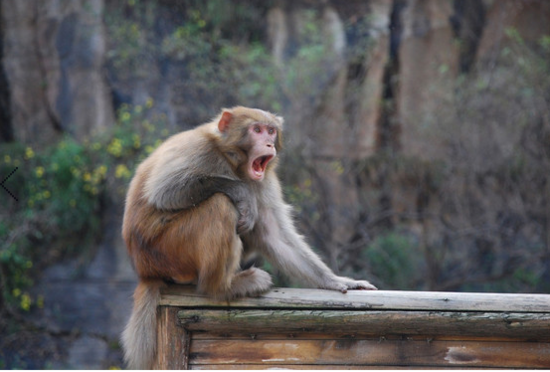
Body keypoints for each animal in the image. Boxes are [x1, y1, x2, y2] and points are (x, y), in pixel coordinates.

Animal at [122, 107, 378, 370]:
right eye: (256, 130)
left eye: (271, 131)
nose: (269, 143)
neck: (232, 161)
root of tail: (146, 271)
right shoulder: (198, 150)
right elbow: (165, 192)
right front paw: (242, 193)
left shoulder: (264, 180)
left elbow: (274, 236)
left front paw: (336, 280)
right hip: (168, 250)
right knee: (220, 204)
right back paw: (221, 287)